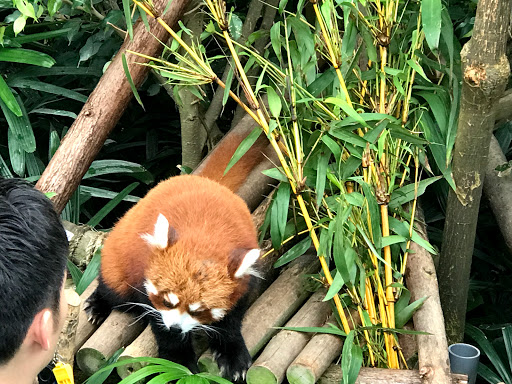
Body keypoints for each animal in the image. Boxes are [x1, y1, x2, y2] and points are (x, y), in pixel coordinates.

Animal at [84, 133, 268, 380]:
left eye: (198, 311)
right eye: (166, 301)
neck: (204, 235)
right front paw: (178, 361)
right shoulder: (145, 280)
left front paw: (232, 355)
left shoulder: (243, 281)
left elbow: (230, 321)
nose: (176, 327)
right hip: (120, 257)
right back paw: (98, 303)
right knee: (114, 289)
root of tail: (198, 179)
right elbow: (158, 322)